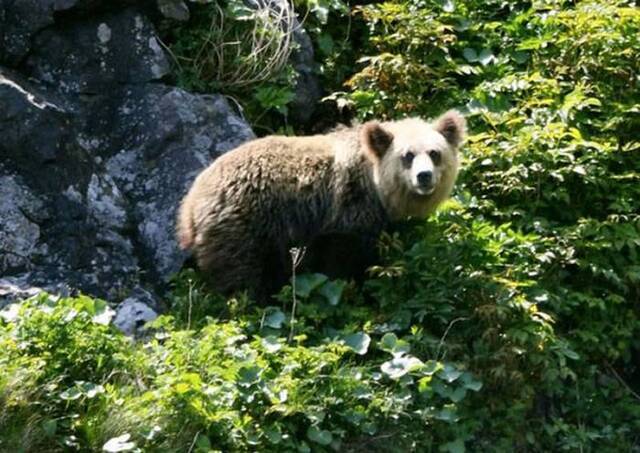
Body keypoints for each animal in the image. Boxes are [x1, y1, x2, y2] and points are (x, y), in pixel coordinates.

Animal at [178, 110, 468, 296]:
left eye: (435, 153)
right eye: (407, 155)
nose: (424, 176)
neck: (379, 191)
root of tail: (191, 199)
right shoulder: (348, 211)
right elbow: (343, 260)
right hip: (243, 223)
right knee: (239, 273)